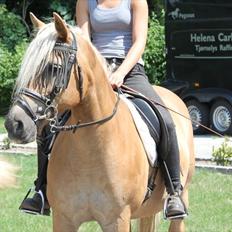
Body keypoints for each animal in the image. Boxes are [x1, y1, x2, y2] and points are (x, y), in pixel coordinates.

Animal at [4, 13, 195, 232]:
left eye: (54, 68)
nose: (14, 124)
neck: (92, 147)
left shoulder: (117, 220)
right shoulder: (64, 218)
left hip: (180, 200)